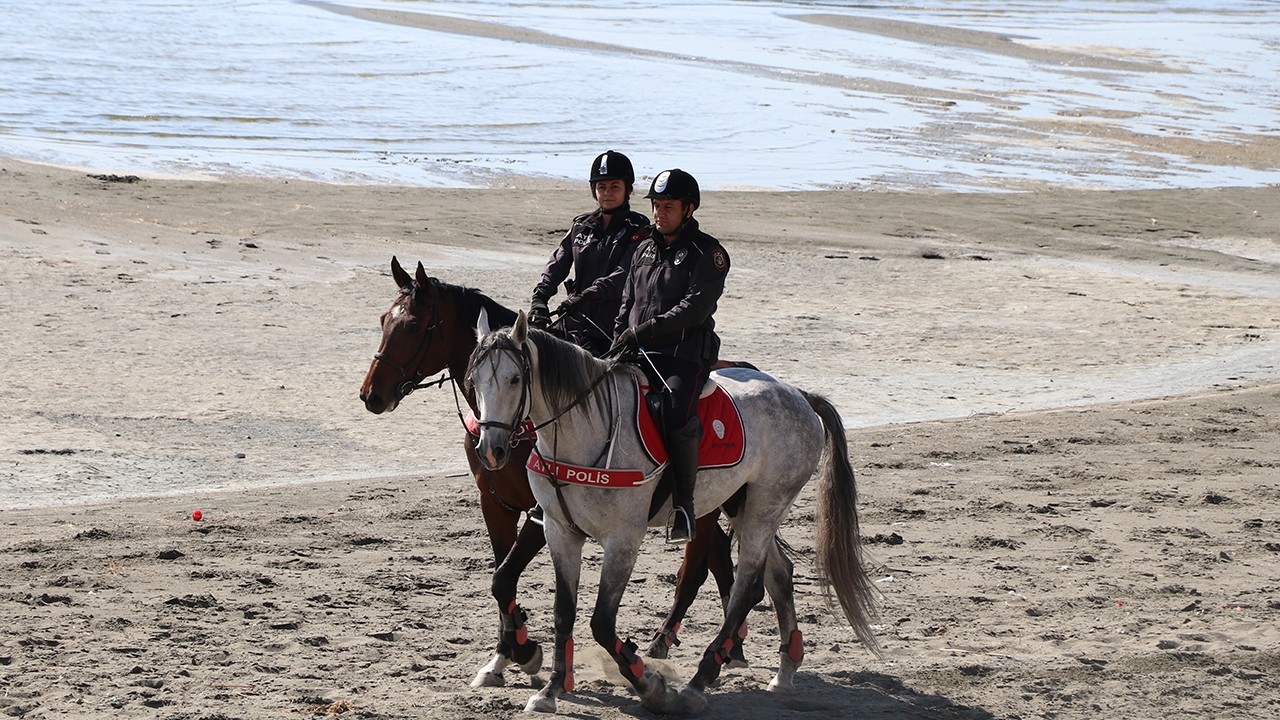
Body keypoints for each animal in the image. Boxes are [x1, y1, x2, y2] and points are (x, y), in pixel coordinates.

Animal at [360, 256, 742, 681]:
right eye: (383, 320)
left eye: (412, 325)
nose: (371, 395)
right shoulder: (496, 506)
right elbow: (502, 580)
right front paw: (505, 654)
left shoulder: (544, 514)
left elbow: (504, 579)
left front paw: (524, 651)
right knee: (719, 556)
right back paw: (725, 644)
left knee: (700, 566)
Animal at [471, 310, 880, 712]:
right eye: (474, 380)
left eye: (514, 378)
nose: (490, 448)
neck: (587, 433)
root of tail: (799, 395)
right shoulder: (559, 531)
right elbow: (562, 612)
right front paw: (552, 687)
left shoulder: (623, 539)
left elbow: (602, 621)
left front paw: (649, 684)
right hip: (742, 507)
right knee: (779, 575)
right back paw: (785, 670)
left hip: (766, 507)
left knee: (746, 589)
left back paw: (700, 681)